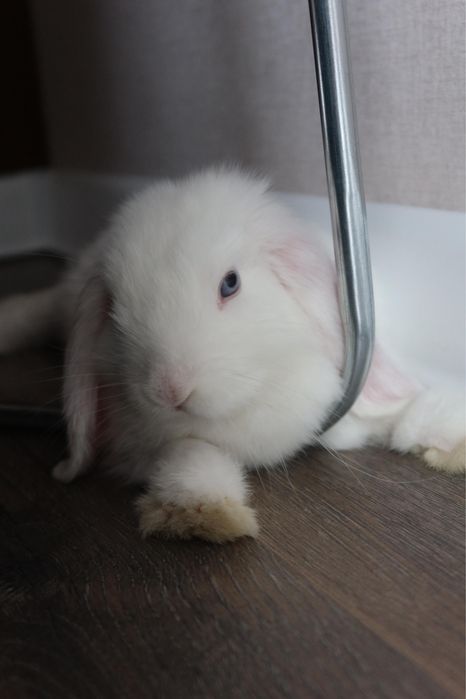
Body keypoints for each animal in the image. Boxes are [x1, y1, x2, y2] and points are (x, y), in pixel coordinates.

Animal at [0, 167, 464, 542]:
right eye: (114, 307)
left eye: (230, 283)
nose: (169, 390)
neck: (254, 399)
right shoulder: (143, 446)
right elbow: (191, 451)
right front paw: (204, 515)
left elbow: (400, 413)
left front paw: (449, 437)